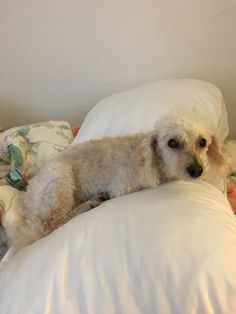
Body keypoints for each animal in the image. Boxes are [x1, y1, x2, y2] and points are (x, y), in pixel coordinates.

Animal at [0, 110, 229, 258]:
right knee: (50, 226)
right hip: (59, 179)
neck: (154, 159)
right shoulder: (124, 186)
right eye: (172, 142)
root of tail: (28, 198)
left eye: (202, 142)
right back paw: (87, 205)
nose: (197, 170)